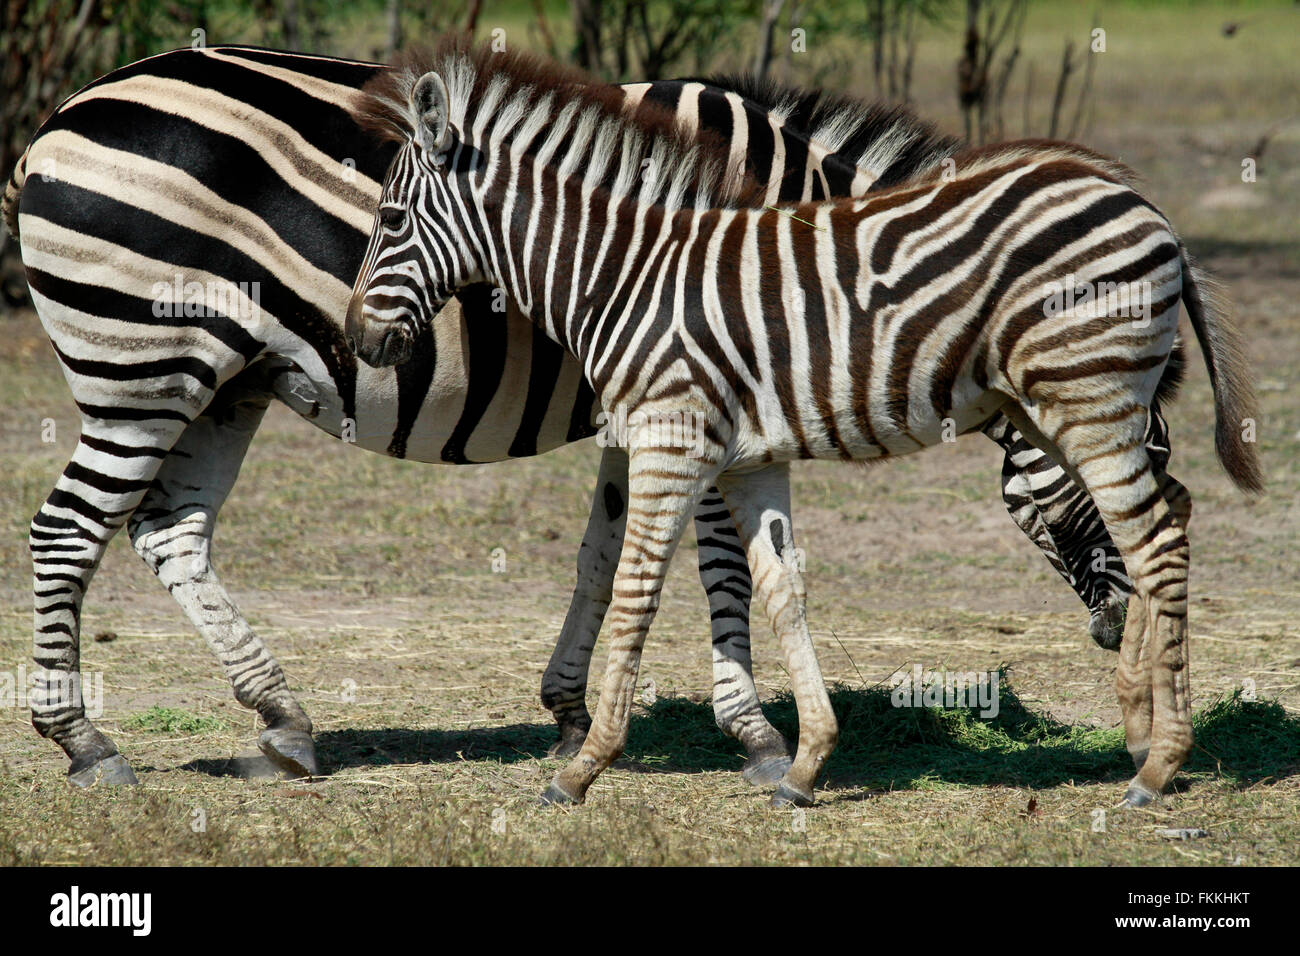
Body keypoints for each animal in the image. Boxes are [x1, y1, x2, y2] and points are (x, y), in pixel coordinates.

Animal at [6, 44, 1146, 787]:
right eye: (1142, 434)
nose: (1124, 625)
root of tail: (59, 117)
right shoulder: (712, 386)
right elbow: (718, 560)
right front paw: (754, 733)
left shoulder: (647, 393)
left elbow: (608, 548)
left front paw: (568, 711)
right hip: (142, 363)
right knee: (68, 531)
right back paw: (85, 743)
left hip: (223, 378)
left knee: (170, 531)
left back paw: (284, 721)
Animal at [345, 40, 1262, 808]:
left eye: (389, 222)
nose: (357, 340)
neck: (626, 273)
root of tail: (1149, 209)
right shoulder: (747, 458)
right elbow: (782, 589)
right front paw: (803, 762)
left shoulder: (673, 441)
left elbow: (639, 588)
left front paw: (583, 768)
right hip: (1070, 407)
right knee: (1163, 524)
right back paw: (1147, 736)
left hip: (1086, 401)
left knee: (1158, 542)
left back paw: (1158, 767)